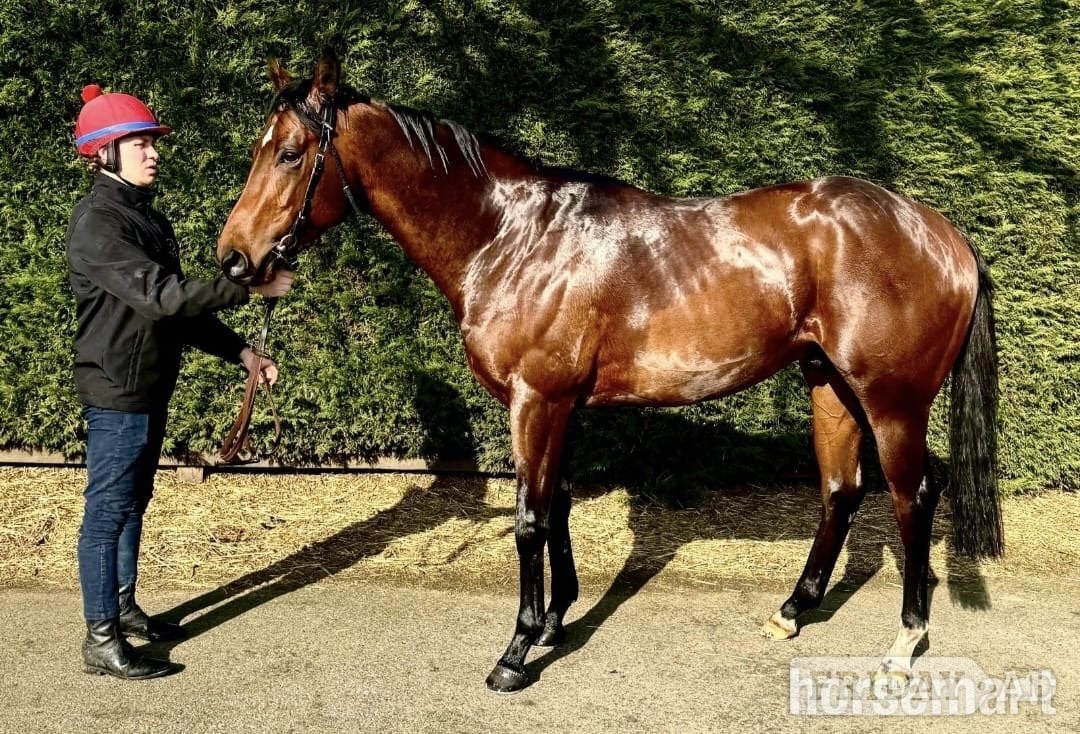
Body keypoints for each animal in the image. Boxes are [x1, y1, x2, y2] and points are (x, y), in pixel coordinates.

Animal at [218, 51, 1003, 693]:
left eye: (290, 153)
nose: (233, 258)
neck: (511, 238)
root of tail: (943, 232)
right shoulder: (562, 405)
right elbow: (558, 505)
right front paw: (554, 623)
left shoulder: (536, 402)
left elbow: (530, 521)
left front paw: (515, 653)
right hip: (829, 386)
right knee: (841, 491)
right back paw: (792, 610)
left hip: (891, 401)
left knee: (912, 499)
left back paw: (903, 643)